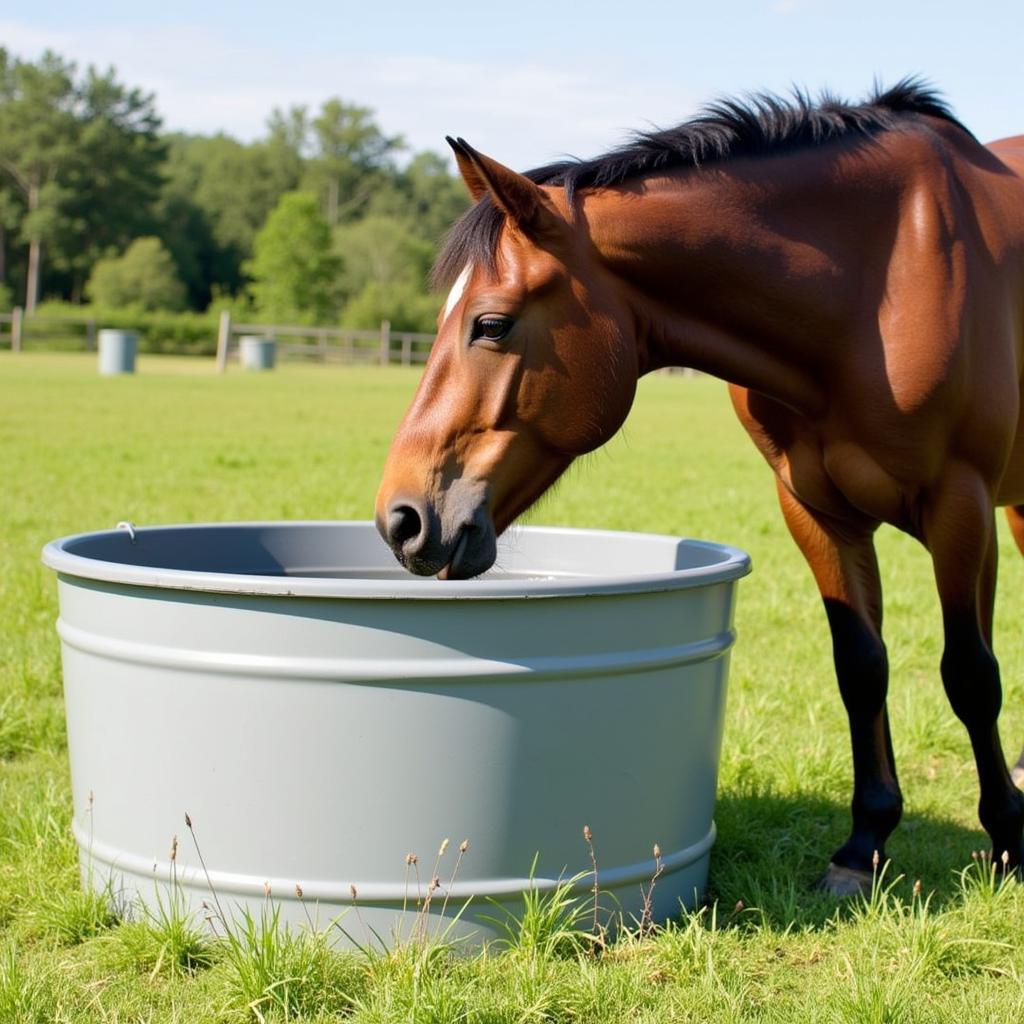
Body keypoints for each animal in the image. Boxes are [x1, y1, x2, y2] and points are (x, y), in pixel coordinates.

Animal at [374, 79, 1024, 892]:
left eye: (491, 324)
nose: (401, 518)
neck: (878, 282)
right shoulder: (815, 510)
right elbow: (861, 666)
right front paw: (862, 846)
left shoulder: (960, 507)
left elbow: (971, 675)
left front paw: (1009, 842)